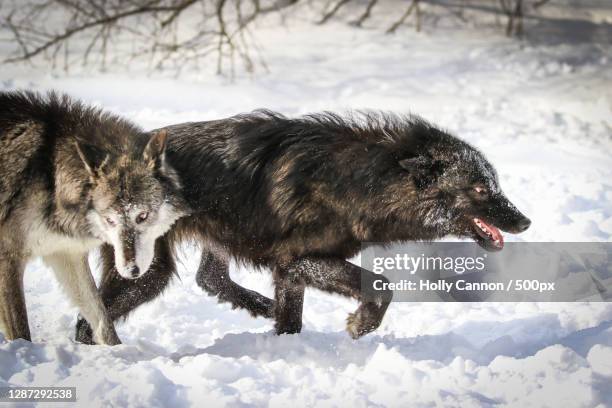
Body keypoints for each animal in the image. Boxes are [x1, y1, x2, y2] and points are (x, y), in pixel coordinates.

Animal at [0, 90, 186, 344]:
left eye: (142, 216)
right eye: (110, 220)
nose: (132, 271)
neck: (51, 178)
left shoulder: (66, 254)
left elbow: (102, 320)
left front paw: (116, 351)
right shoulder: (8, 257)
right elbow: (21, 331)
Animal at [75, 110, 524, 342]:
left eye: (496, 183)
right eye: (480, 188)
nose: (525, 221)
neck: (364, 180)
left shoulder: (289, 272)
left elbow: (292, 318)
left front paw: (285, 341)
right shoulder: (295, 261)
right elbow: (380, 286)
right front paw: (360, 326)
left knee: (210, 279)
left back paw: (261, 306)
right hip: (148, 272)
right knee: (87, 322)